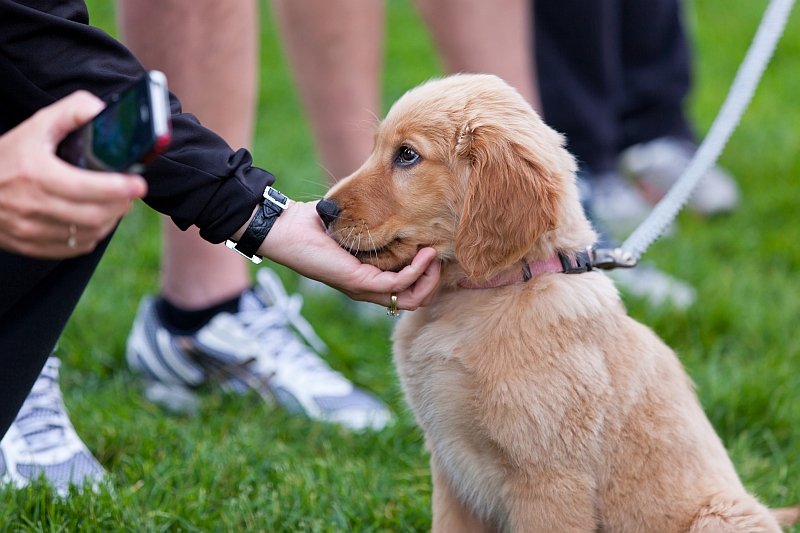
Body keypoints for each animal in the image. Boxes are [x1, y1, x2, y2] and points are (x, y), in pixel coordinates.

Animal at [318, 75, 792, 532]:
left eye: (407, 156)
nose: (322, 210)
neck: (487, 294)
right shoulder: (451, 472)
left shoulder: (548, 478)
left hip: (721, 514)